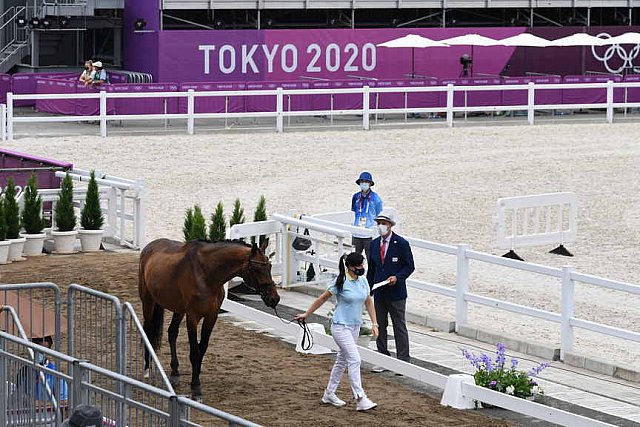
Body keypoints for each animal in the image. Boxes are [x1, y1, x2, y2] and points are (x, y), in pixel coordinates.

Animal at [139, 239, 278, 400]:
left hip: (178, 310)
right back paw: (146, 370)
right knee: (148, 330)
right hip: (148, 301)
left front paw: (196, 382)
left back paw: (175, 374)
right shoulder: (192, 317)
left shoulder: (212, 316)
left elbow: (202, 349)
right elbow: (194, 352)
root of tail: (150, 246)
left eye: (269, 266)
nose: (274, 298)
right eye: (256, 269)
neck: (206, 275)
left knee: (172, 333)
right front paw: (196, 389)